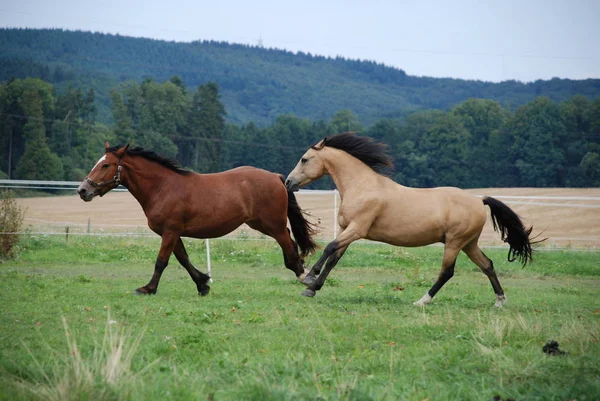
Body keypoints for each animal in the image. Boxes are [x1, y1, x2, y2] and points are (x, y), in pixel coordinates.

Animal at [78, 142, 318, 296]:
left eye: (105, 165)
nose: (83, 190)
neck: (163, 187)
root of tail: (276, 177)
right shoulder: (173, 233)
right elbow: (183, 259)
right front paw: (203, 284)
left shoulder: (170, 231)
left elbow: (161, 261)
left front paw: (148, 289)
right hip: (261, 224)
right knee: (290, 241)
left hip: (272, 224)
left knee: (289, 244)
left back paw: (303, 276)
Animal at [284, 132, 540, 306]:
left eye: (304, 159)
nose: (288, 182)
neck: (363, 186)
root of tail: (479, 200)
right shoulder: (347, 229)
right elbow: (334, 258)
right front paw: (312, 288)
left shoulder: (357, 229)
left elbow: (329, 248)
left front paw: (308, 277)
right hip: (469, 243)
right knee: (487, 265)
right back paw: (500, 300)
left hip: (455, 242)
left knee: (447, 272)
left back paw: (422, 300)